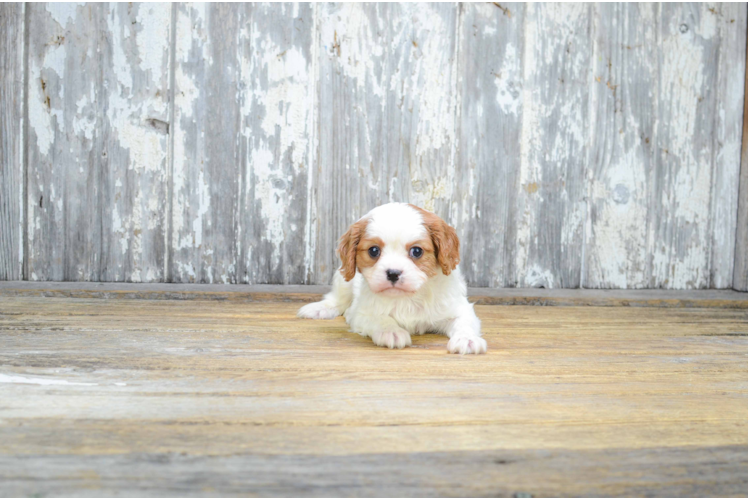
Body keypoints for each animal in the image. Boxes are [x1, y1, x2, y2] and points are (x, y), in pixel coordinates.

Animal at [298, 201, 486, 354]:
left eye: (416, 251)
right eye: (374, 251)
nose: (393, 273)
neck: (408, 297)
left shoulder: (458, 308)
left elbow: (464, 322)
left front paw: (467, 339)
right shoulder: (361, 312)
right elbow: (380, 318)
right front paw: (391, 331)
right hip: (343, 280)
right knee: (337, 300)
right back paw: (319, 309)